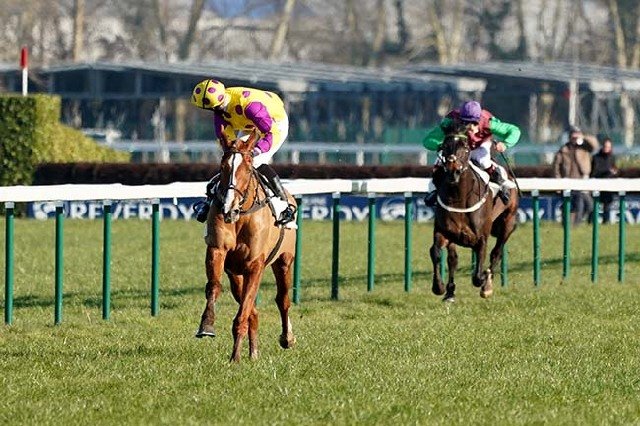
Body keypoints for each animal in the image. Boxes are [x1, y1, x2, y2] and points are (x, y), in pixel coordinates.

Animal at [195, 130, 297, 362]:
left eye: (248, 168)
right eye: (222, 166)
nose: (228, 207)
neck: (241, 215)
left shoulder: (255, 265)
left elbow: (243, 313)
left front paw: (235, 358)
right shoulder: (217, 251)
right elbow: (214, 287)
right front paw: (207, 325)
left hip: (284, 261)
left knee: (283, 300)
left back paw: (287, 338)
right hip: (236, 274)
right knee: (253, 310)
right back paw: (253, 352)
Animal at [429, 125, 518, 301]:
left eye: (465, 148)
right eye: (445, 146)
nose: (453, 172)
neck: (459, 198)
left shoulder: (481, 237)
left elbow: (478, 275)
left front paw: (484, 279)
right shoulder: (444, 232)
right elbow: (436, 252)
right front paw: (439, 287)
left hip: (508, 222)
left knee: (496, 253)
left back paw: (487, 286)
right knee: (452, 259)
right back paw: (450, 292)